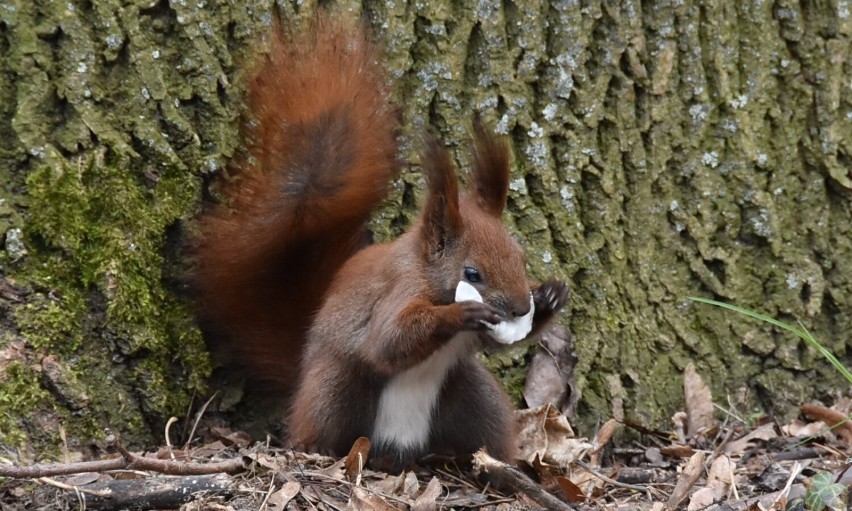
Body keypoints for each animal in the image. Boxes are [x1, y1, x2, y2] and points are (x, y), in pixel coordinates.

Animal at [192, 16, 564, 466]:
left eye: (521, 258)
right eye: (472, 273)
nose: (522, 306)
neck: (426, 271)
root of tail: (400, 443)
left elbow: (502, 343)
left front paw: (551, 296)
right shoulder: (400, 289)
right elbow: (389, 339)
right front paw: (457, 315)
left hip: (475, 397)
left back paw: (496, 462)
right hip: (335, 387)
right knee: (317, 420)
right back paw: (315, 447)